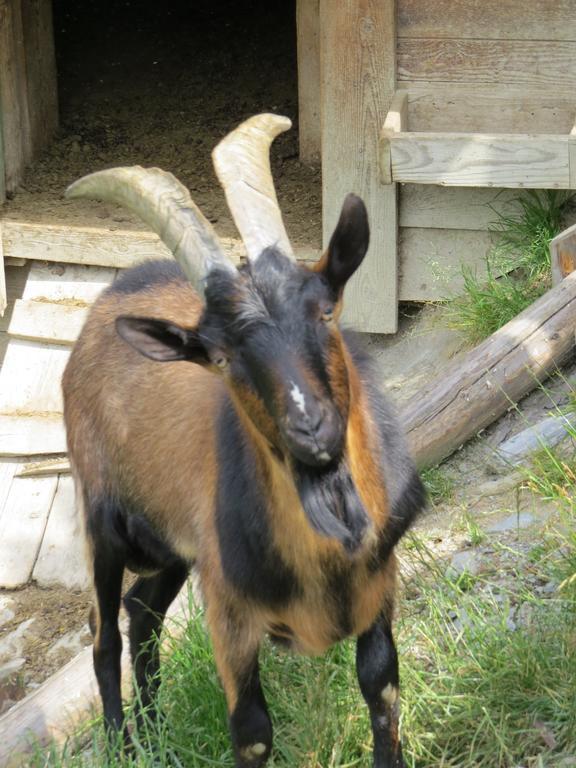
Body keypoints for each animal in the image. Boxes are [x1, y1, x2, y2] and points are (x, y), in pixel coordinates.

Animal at [63, 114, 426, 768]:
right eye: (221, 355)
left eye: (325, 310)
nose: (312, 428)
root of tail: (116, 290)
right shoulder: (228, 612)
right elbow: (252, 731)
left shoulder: (378, 581)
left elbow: (381, 686)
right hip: (100, 516)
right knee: (104, 633)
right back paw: (125, 744)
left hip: (173, 545)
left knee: (141, 611)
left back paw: (156, 733)